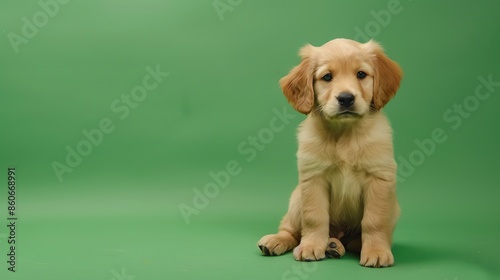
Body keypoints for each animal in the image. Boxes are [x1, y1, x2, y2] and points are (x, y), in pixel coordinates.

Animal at [258, 38, 402, 268]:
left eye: (361, 74)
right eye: (327, 77)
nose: (346, 98)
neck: (344, 133)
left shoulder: (379, 179)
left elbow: (374, 221)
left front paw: (377, 251)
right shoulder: (313, 178)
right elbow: (315, 217)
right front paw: (310, 247)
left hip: (393, 208)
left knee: (354, 241)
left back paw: (335, 246)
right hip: (297, 198)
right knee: (291, 230)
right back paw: (278, 241)